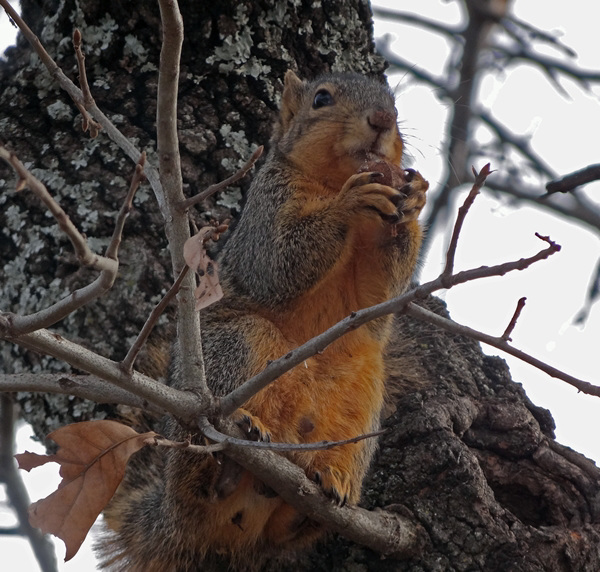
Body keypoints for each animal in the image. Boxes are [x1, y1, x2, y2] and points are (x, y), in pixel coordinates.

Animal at [97, 71, 426, 572]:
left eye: (393, 101)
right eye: (321, 98)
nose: (382, 120)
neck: (330, 179)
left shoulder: (371, 282)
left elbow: (381, 295)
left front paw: (415, 201)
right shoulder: (267, 207)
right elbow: (277, 263)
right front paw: (351, 202)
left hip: (363, 393)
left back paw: (328, 481)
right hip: (238, 343)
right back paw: (236, 448)